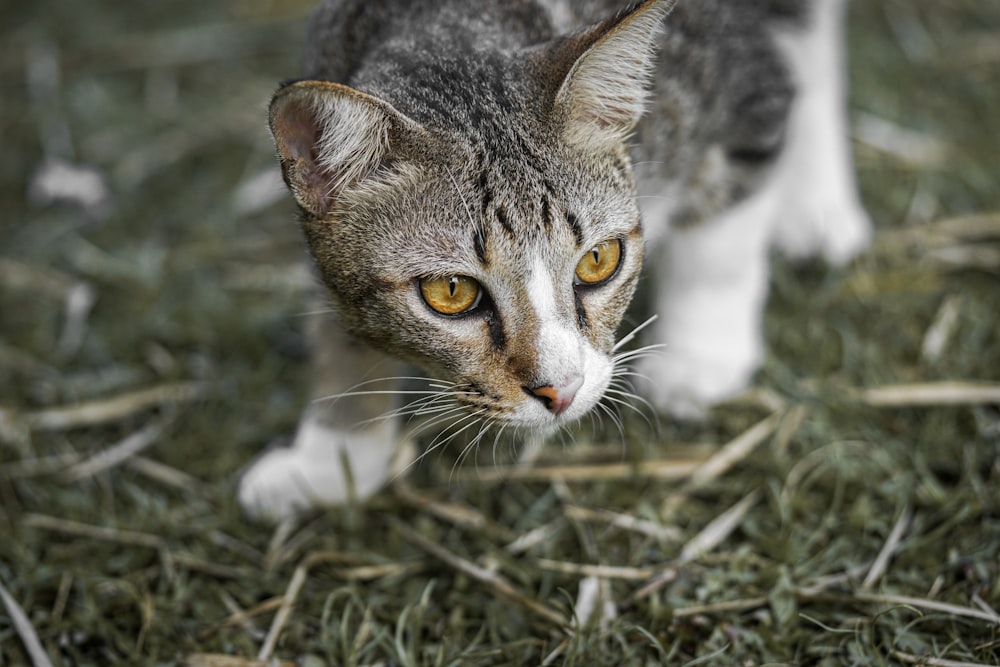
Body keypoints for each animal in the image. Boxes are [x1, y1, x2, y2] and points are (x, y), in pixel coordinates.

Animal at [238, 0, 872, 520]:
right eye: (450, 292)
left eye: (599, 260)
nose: (561, 392)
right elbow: (336, 325)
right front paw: (332, 460)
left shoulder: (741, 84)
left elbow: (721, 241)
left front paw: (700, 359)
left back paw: (816, 205)